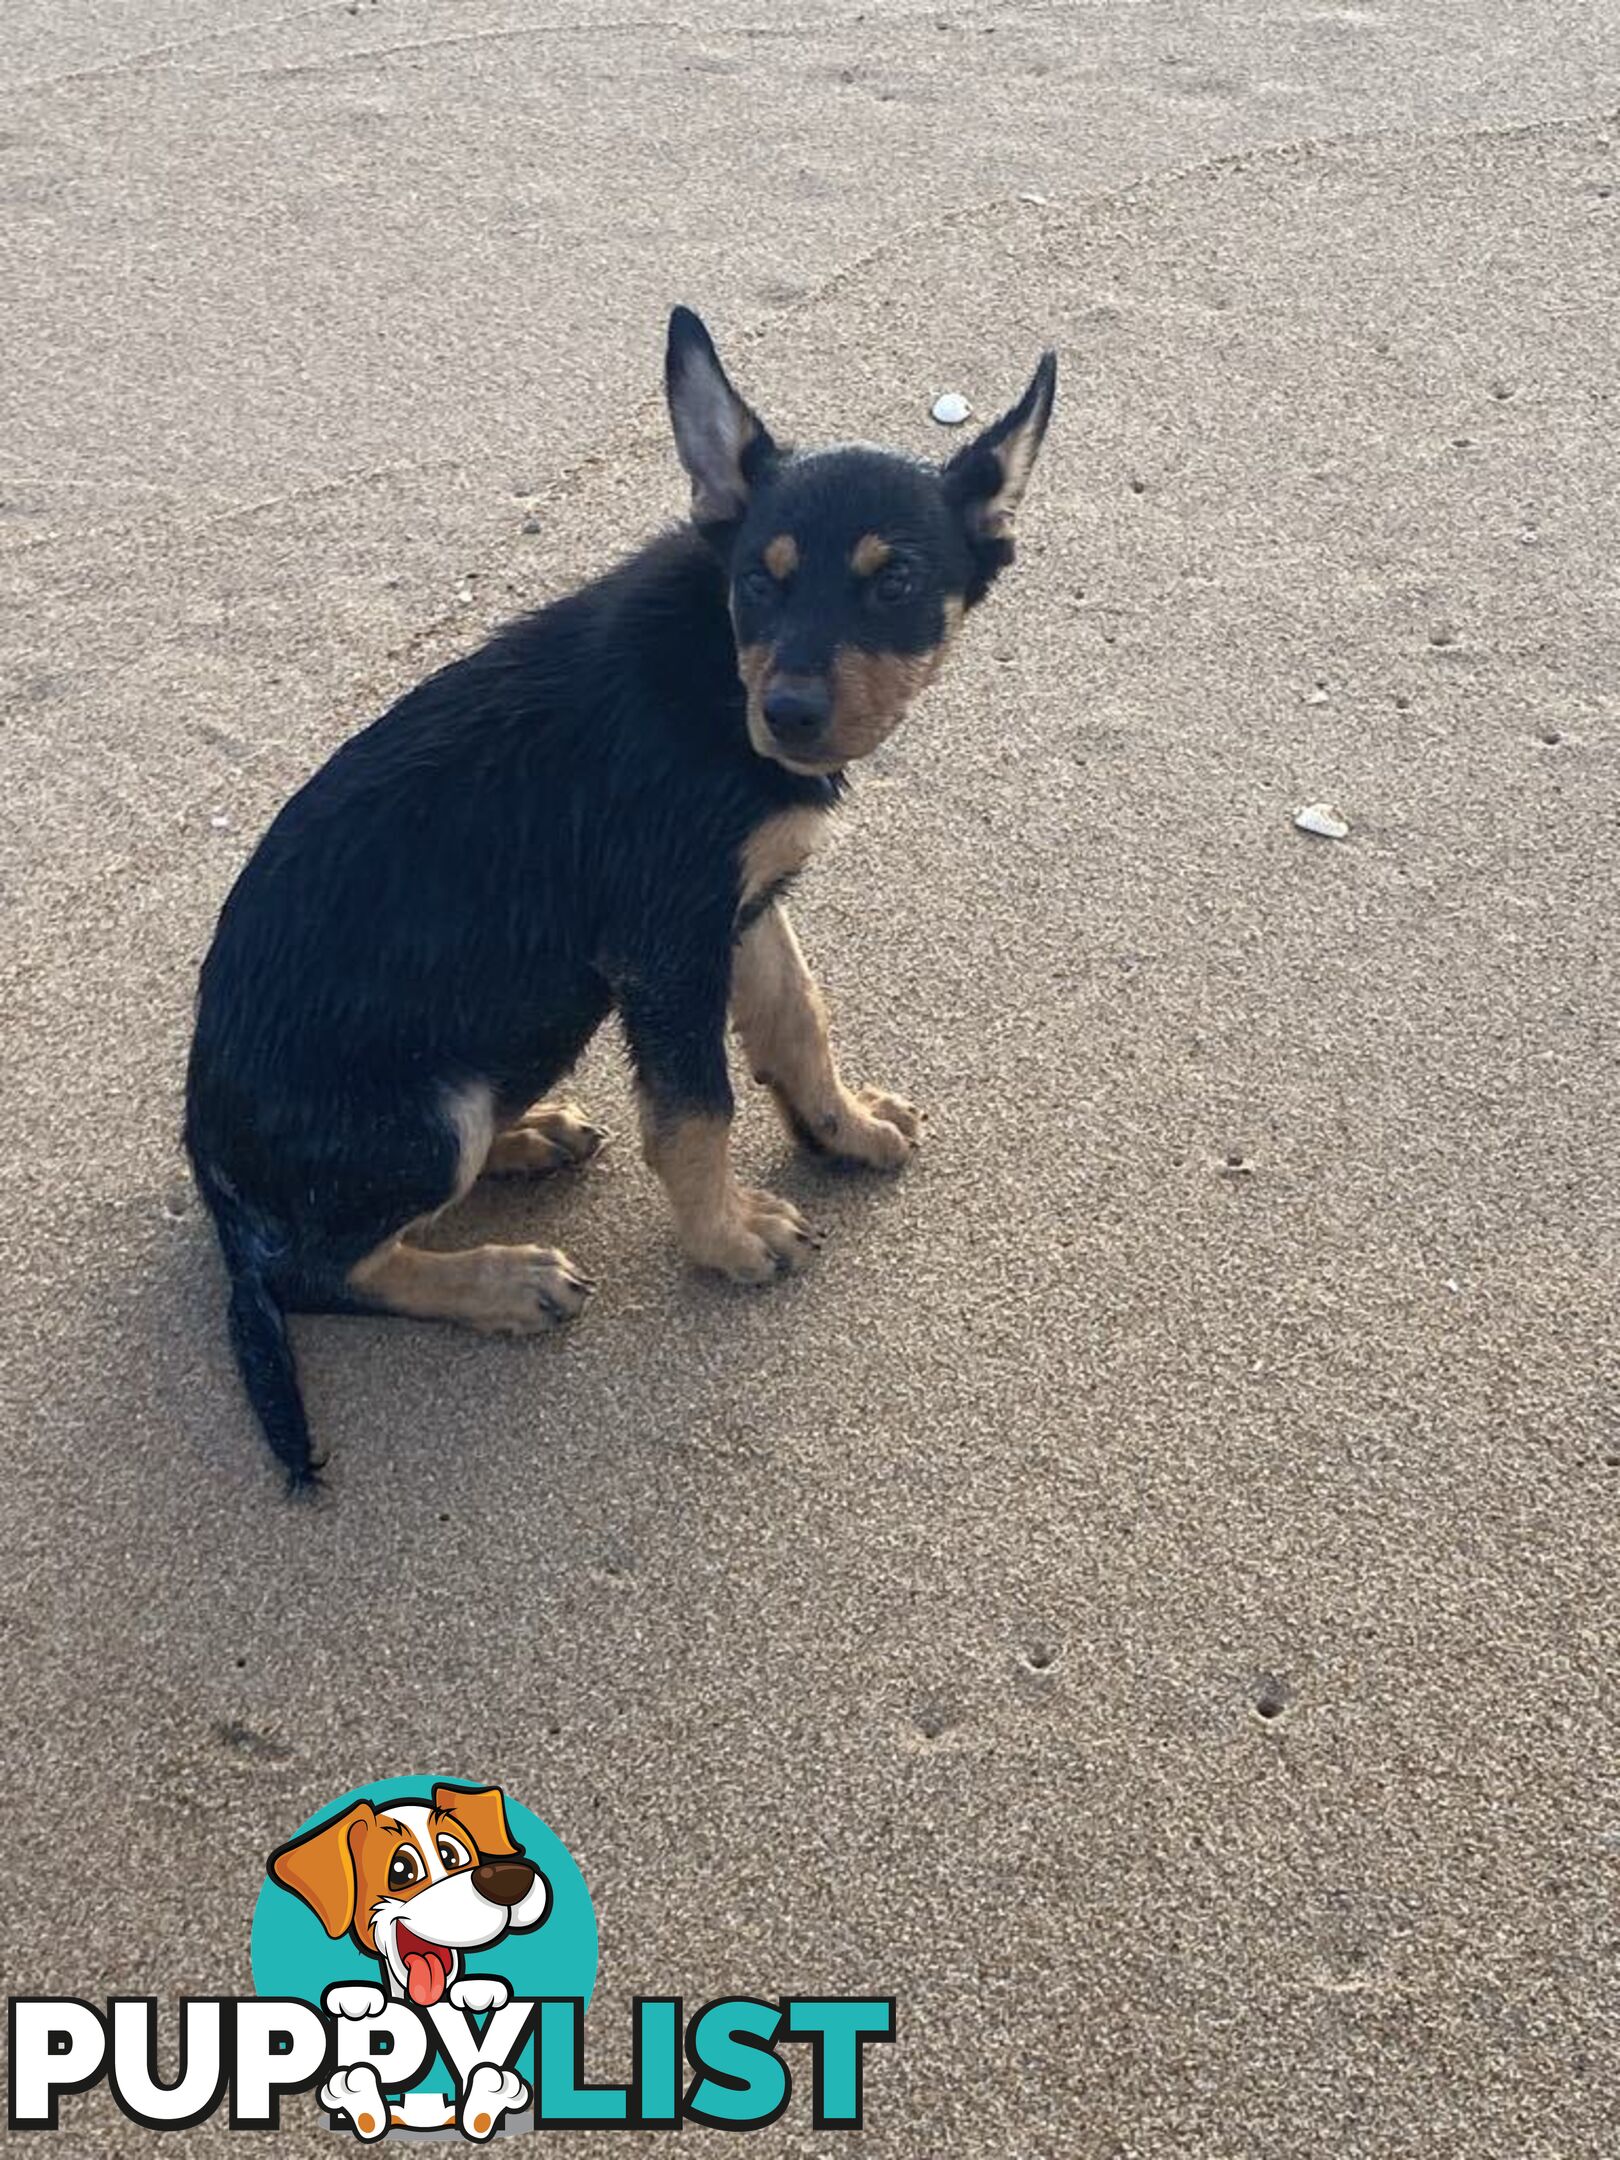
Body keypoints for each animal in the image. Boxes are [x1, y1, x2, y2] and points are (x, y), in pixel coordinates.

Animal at [183, 308, 1058, 1486]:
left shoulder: (741, 906)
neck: (717, 671)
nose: (788, 714)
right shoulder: (664, 944)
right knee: (321, 1268)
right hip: (427, 1115)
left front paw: (842, 1127)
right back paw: (501, 1281)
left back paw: (529, 1138)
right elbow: (697, 1111)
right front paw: (728, 1238)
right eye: (761, 580)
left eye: (895, 583)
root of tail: (213, 1190)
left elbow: (798, 1018)